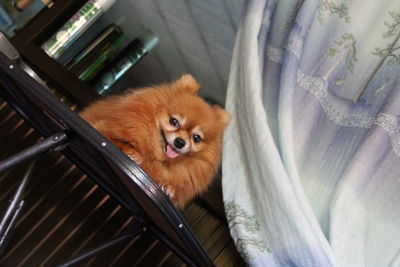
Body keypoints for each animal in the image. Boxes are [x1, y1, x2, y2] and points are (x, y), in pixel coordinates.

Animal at [79, 74, 230, 208]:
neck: (156, 156)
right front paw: (133, 152)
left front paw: (169, 188)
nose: (180, 142)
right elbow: (117, 139)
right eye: (174, 122)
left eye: (196, 138)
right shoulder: (100, 128)